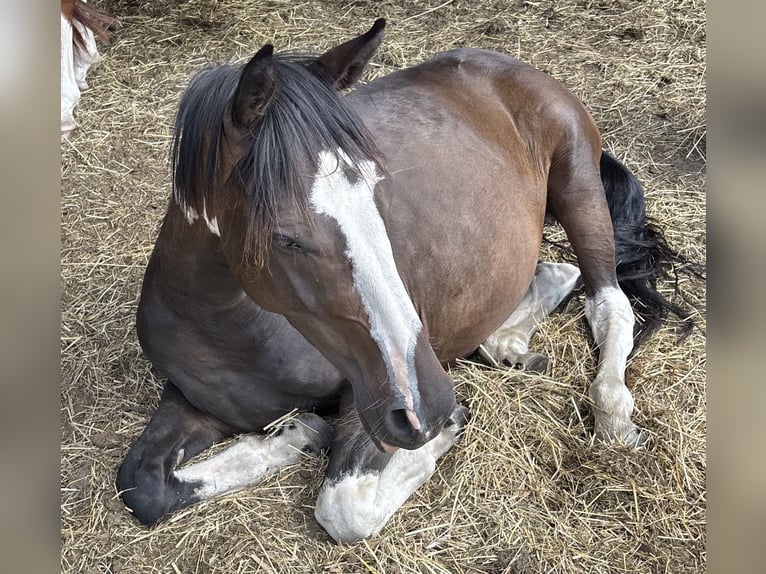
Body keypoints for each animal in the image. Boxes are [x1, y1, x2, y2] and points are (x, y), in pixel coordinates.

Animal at [116, 19, 689, 543]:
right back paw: (507, 345)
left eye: (378, 195)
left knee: (609, 303)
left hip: (579, 190)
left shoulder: (366, 398)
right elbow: (140, 484)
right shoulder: (190, 401)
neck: (229, 328)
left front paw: (445, 427)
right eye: (285, 238)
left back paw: (612, 413)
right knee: (556, 272)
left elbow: (344, 507)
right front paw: (290, 438)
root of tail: (513, 66)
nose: (428, 405)